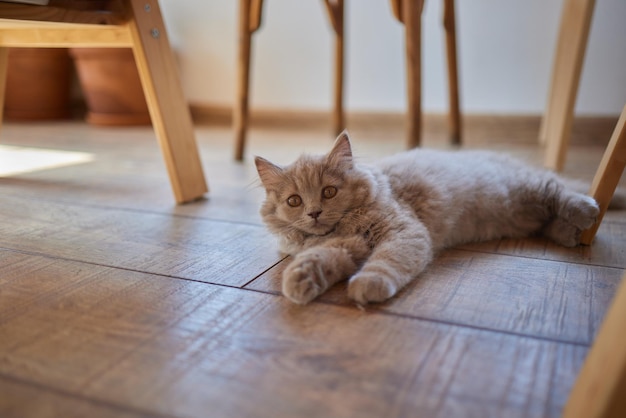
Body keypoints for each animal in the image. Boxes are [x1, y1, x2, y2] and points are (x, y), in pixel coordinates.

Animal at [255, 132, 600, 306]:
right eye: (294, 201)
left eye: (328, 192)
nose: (314, 212)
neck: (345, 228)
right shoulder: (346, 246)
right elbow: (319, 258)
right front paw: (300, 279)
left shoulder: (403, 231)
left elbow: (387, 262)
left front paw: (369, 284)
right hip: (524, 209)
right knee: (549, 216)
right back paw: (568, 233)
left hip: (521, 188)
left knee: (557, 190)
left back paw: (587, 210)